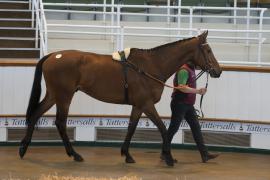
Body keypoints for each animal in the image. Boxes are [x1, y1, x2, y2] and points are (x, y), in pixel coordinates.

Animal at [19, 30, 221, 166]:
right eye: (208, 50)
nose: (218, 71)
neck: (151, 65)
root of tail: (53, 55)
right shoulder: (147, 104)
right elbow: (163, 128)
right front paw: (169, 158)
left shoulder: (138, 106)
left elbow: (131, 127)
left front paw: (127, 154)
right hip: (64, 96)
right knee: (60, 123)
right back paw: (74, 154)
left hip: (54, 95)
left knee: (36, 113)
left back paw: (23, 149)